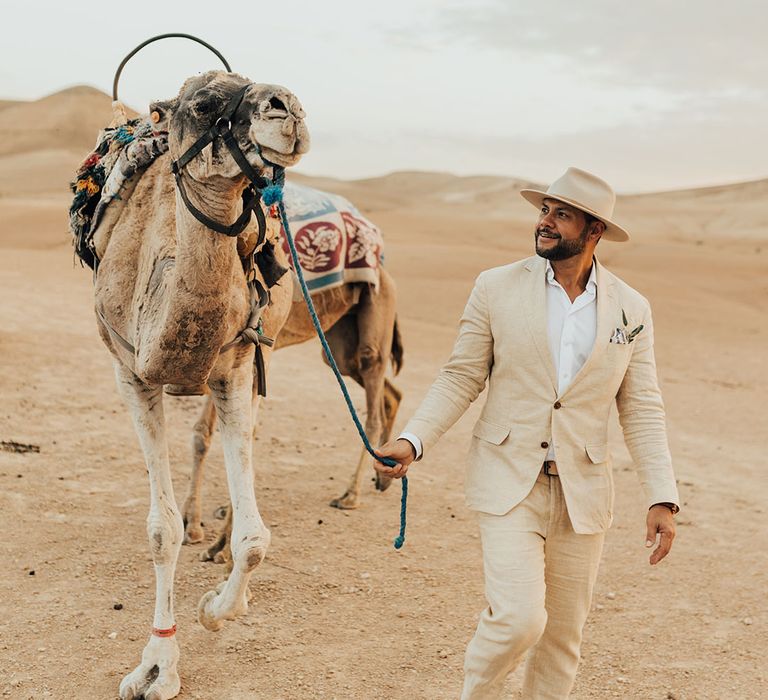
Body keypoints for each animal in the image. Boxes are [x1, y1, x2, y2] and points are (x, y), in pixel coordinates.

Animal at [94, 72, 310, 700]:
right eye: (204, 103)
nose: (288, 108)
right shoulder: (131, 373)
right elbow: (160, 531)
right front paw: (157, 666)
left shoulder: (236, 368)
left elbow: (257, 541)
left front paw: (217, 609)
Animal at [181, 266, 404, 548]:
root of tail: (385, 274)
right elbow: (203, 433)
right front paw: (190, 523)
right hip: (341, 351)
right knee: (391, 395)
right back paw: (383, 477)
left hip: (374, 323)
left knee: (373, 407)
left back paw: (350, 495)